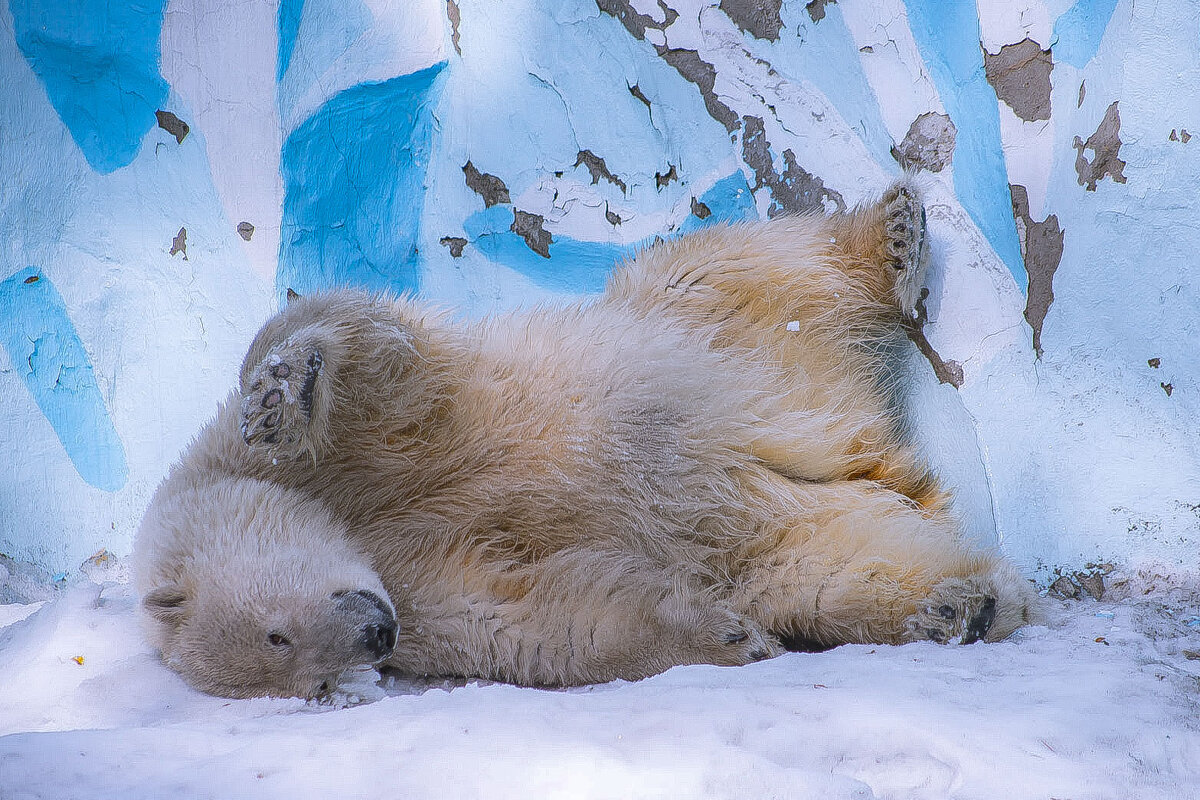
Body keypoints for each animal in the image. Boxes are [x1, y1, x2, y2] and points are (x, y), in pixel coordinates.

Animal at [131, 184, 1032, 695]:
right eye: (305, 679)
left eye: (275, 631)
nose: (370, 637)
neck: (347, 516)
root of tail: (857, 443)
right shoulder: (419, 593)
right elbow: (537, 618)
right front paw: (725, 636)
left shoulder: (356, 452)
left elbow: (379, 365)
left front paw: (283, 392)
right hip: (794, 523)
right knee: (846, 569)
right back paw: (962, 601)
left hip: (708, 333)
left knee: (737, 265)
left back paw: (890, 236)